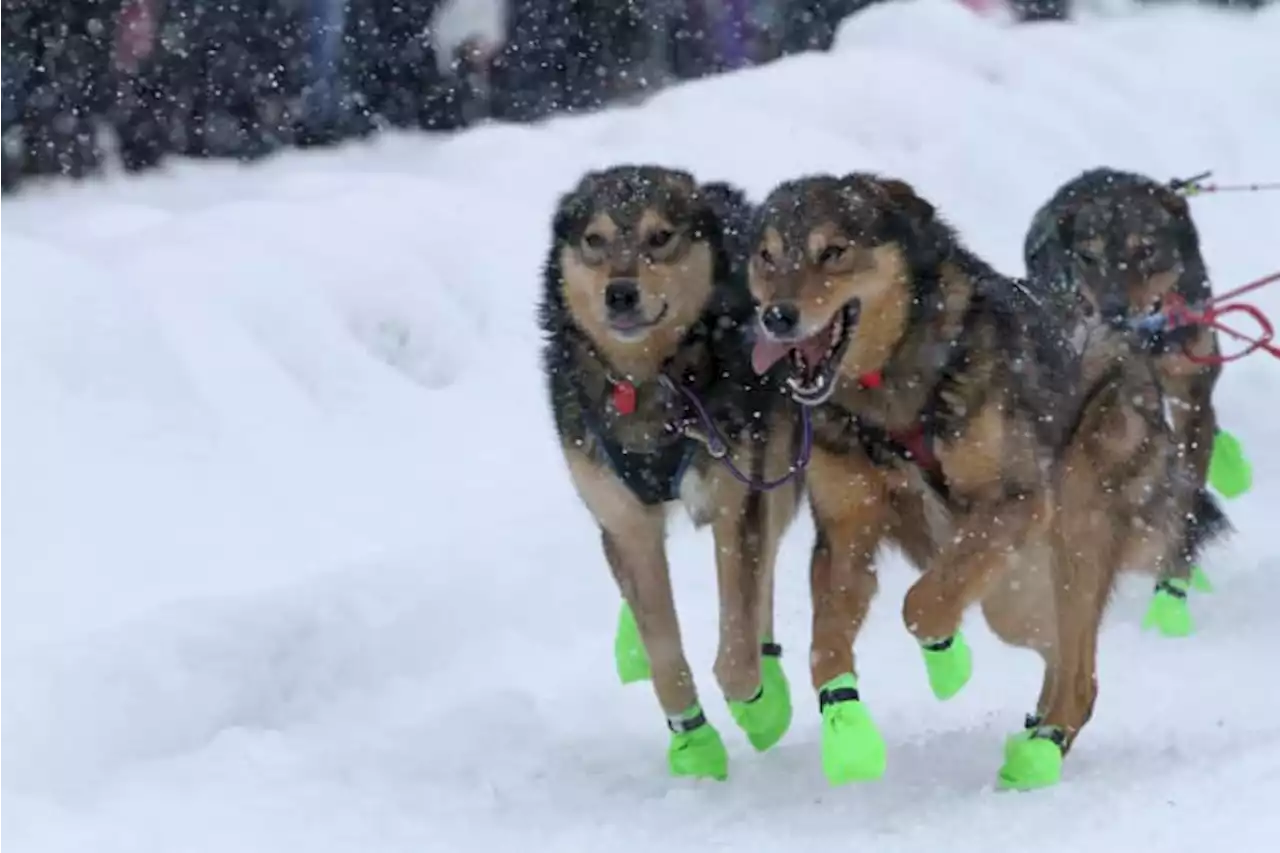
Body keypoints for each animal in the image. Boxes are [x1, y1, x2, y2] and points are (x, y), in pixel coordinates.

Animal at [537, 162, 798, 778]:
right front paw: (693, 742)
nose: (620, 292)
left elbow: (738, 647)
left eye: (660, 237)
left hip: (776, 469)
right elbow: (662, 649)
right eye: (595, 240)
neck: (648, 383)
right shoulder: (624, 522)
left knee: (766, 576)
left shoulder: (737, 502)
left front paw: (760, 705)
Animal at [747, 171, 1198, 788]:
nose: (776, 316)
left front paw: (945, 651)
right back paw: (1034, 728)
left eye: (833, 251)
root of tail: (1131, 349)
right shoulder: (845, 531)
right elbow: (825, 650)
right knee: (1056, 648)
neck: (891, 394)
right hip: (1019, 591)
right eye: (767, 257)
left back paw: (1040, 753)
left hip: (1072, 532)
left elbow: (920, 605)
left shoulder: (1015, 501)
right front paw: (848, 736)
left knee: (1080, 677)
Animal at [1018, 166, 1228, 635]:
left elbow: (1185, 499)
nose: (1113, 310)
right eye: (1088, 257)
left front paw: (1171, 591)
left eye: (1145, 250)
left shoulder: (1191, 397)